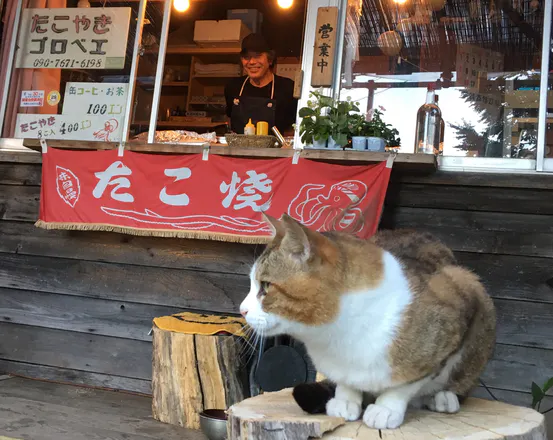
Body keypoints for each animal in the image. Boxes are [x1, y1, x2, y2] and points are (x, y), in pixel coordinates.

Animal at [239, 213, 496, 430]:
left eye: (265, 286)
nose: (242, 310)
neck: (335, 334)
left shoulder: (455, 311)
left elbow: (408, 382)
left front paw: (386, 408)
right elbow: (345, 380)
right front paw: (345, 400)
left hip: (481, 309)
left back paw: (443, 397)